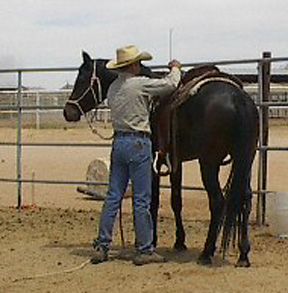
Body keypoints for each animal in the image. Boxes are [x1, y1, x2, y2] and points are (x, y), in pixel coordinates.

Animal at [64, 51, 260, 266]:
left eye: (82, 78)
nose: (68, 111)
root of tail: (237, 98)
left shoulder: (152, 159)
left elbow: (153, 200)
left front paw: (151, 241)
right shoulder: (175, 160)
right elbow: (176, 200)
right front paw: (179, 241)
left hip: (209, 163)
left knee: (217, 201)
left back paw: (206, 253)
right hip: (245, 161)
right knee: (245, 199)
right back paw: (243, 254)